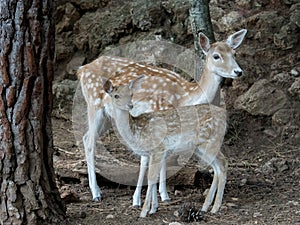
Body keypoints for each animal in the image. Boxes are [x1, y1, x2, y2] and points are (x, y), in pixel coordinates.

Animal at [77, 29, 246, 204]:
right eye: (216, 56)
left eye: (234, 53)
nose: (238, 72)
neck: (184, 97)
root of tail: (82, 69)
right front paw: (155, 196)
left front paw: (159, 195)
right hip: (94, 104)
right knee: (89, 141)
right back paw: (95, 192)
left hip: (109, 117)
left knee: (86, 136)